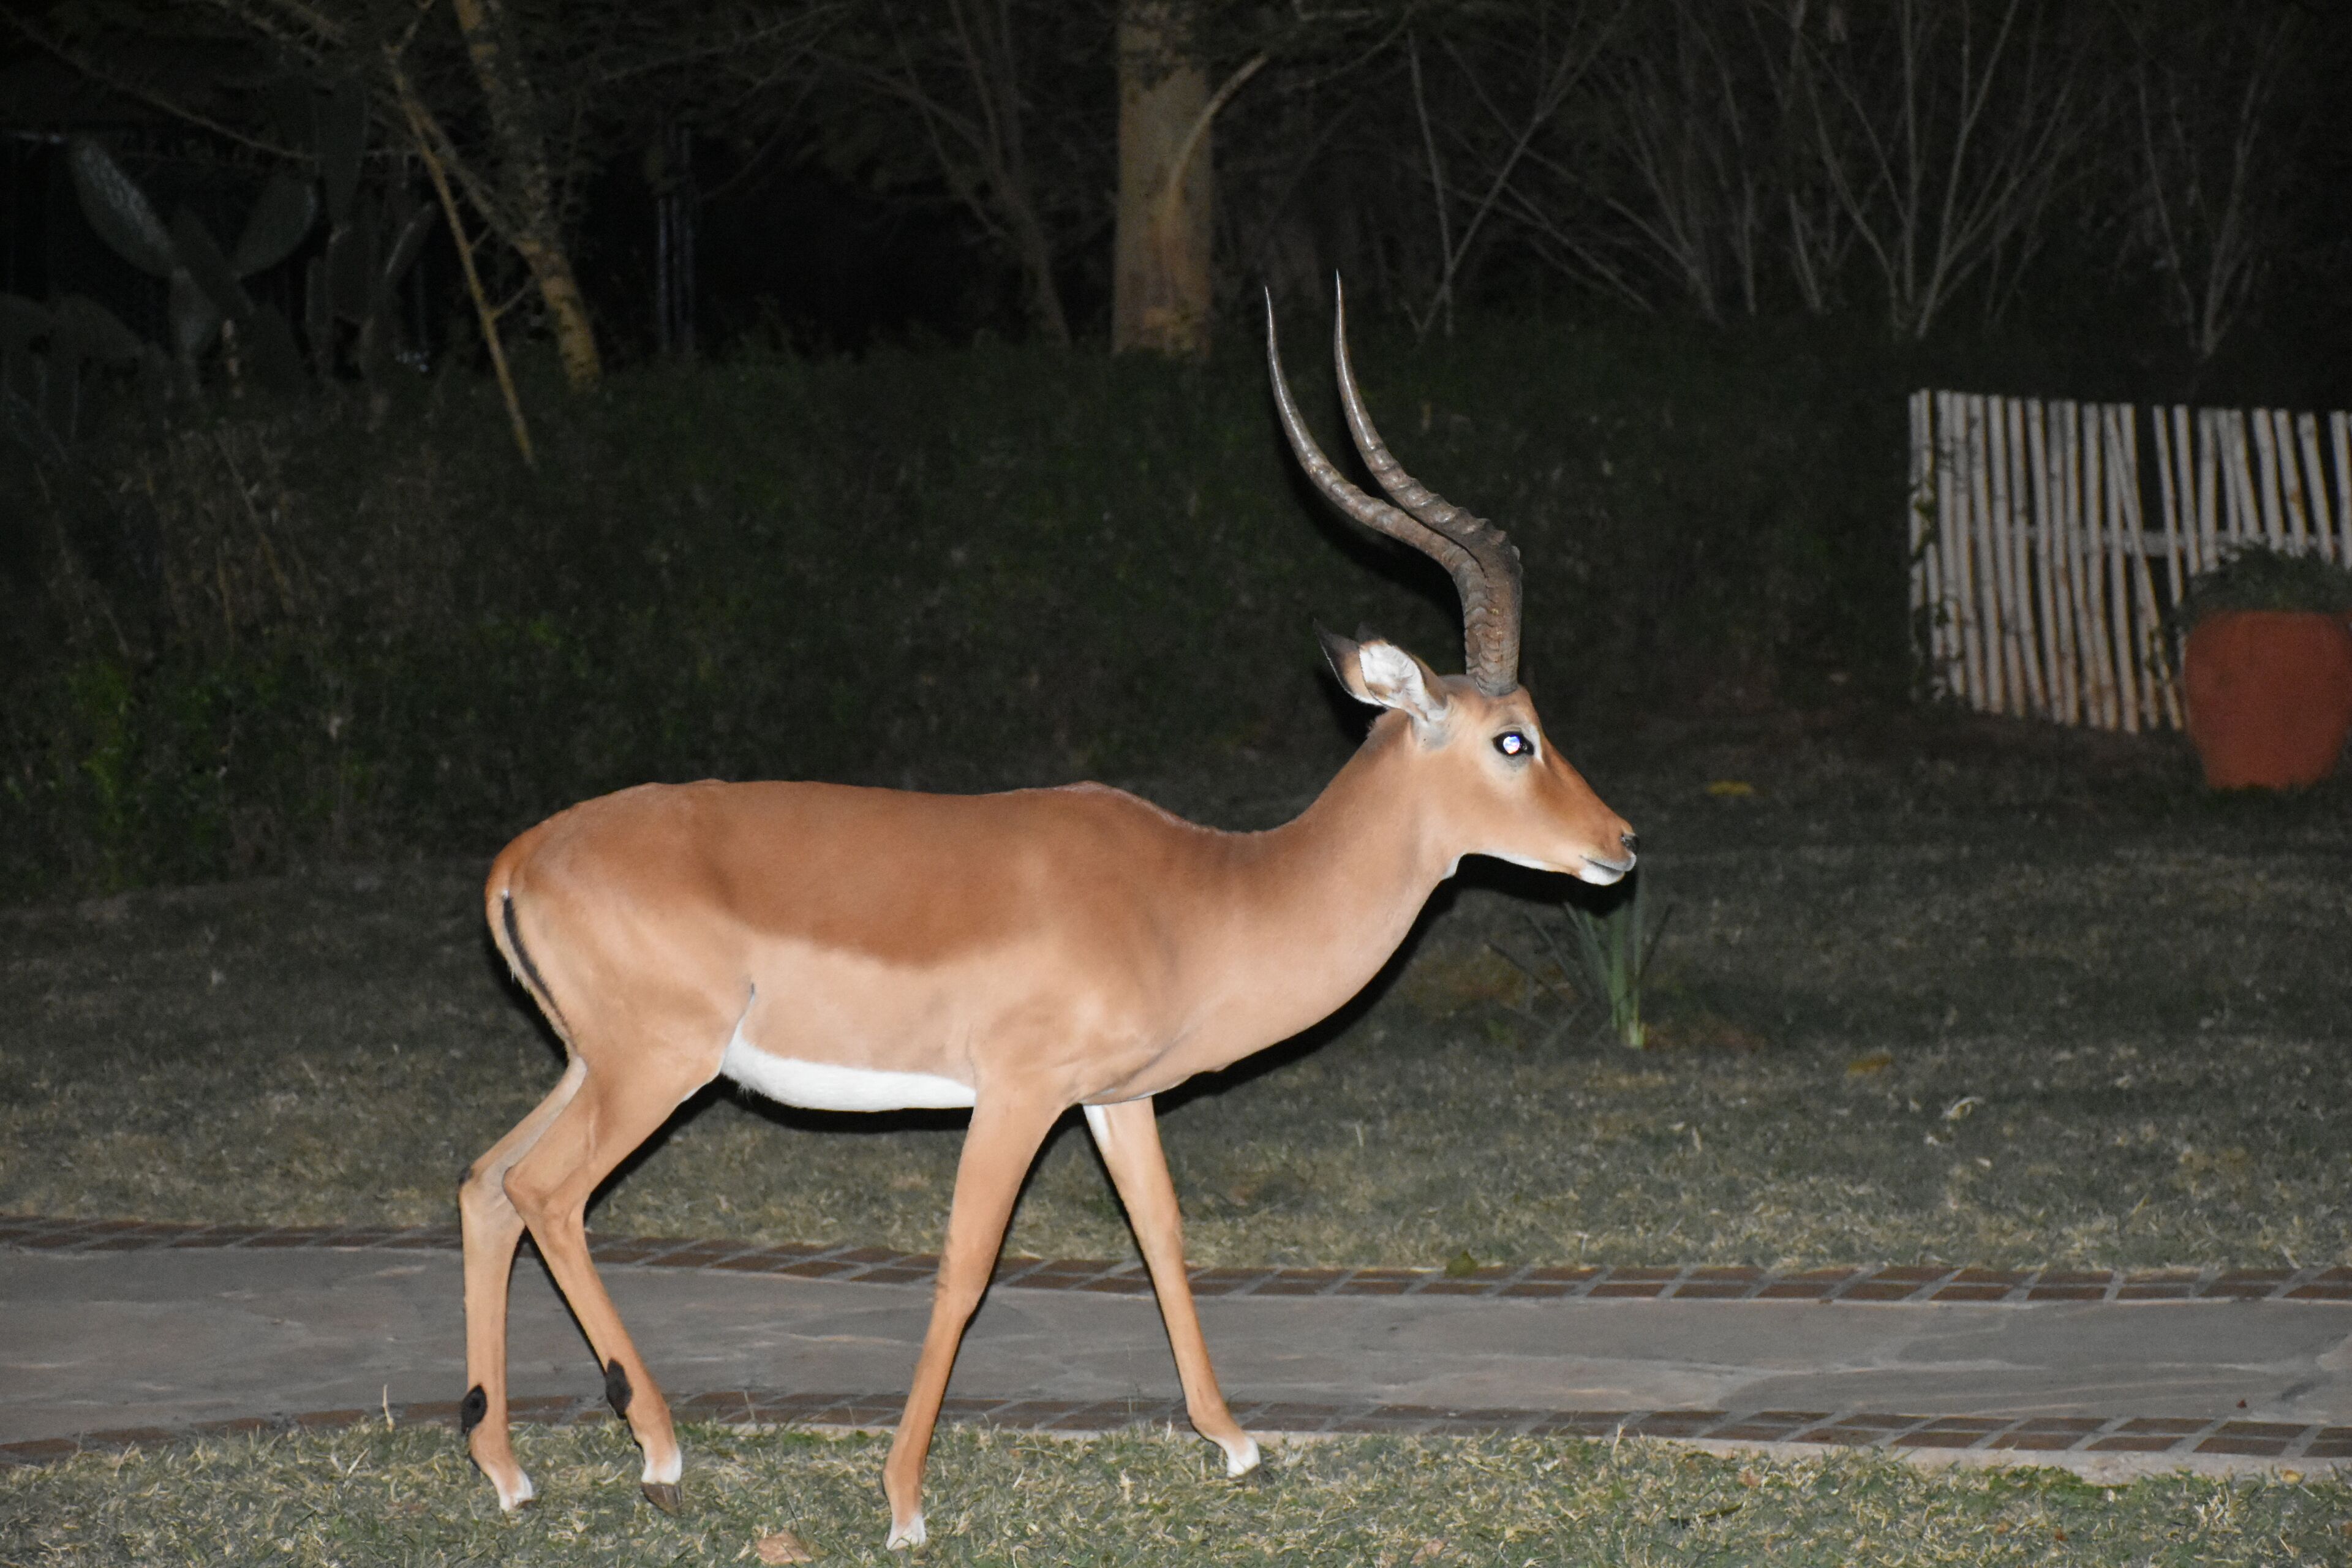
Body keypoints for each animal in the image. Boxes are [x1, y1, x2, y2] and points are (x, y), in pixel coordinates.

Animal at [456, 285, 1636, 1549]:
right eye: (1513, 739)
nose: (1620, 843)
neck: (1203, 895)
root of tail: (521, 857)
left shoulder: (1117, 1098)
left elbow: (1163, 1235)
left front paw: (1235, 1443)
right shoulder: (1018, 1094)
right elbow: (967, 1265)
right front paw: (904, 1505)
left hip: (596, 1065)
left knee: (485, 1183)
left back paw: (509, 1472)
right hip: (655, 1070)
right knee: (546, 1194)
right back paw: (661, 1453)